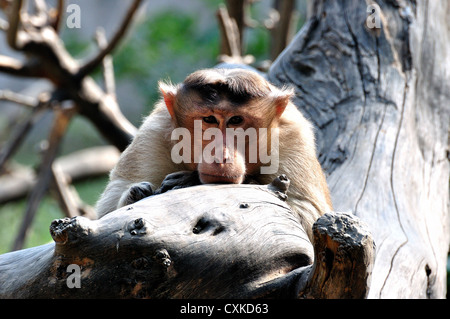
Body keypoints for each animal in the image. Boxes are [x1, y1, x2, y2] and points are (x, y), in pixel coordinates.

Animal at [95, 69, 332, 241]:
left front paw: (189, 180)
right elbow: (107, 213)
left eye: (236, 120)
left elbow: (309, 217)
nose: (220, 154)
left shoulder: (293, 137)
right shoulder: (154, 132)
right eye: (209, 119)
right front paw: (138, 193)